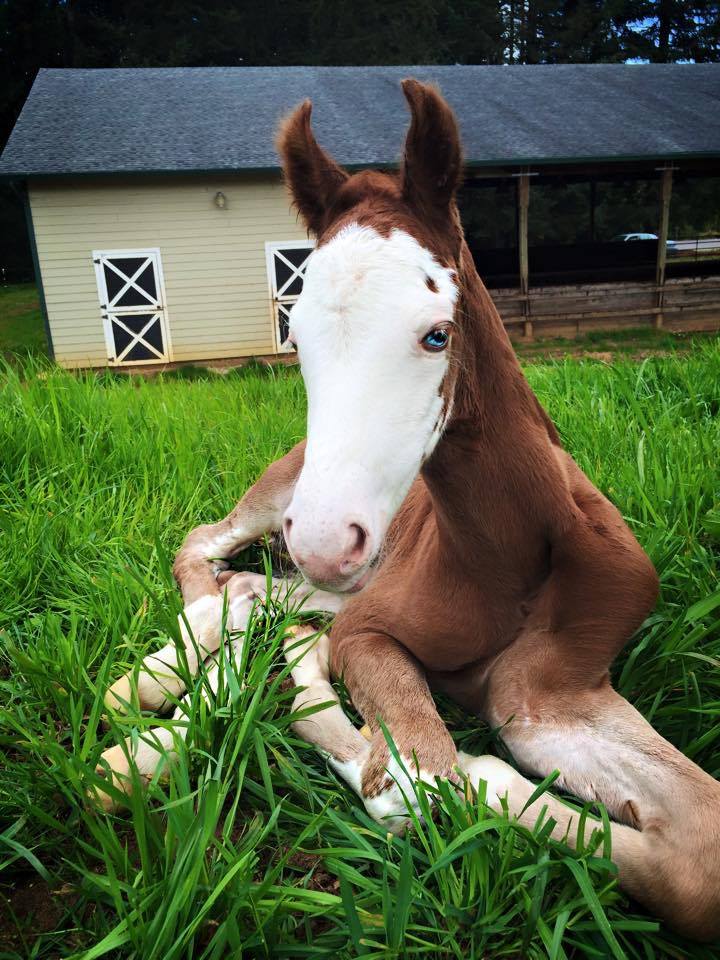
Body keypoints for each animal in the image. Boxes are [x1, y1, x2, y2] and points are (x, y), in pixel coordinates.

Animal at [95, 80, 720, 936]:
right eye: (294, 337)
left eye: (436, 335)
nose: (326, 537)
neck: (512, 558)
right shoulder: (373, 629)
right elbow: (417, 779)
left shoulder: (551, 695)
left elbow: (695, 855)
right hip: (281, 504)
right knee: (210, 552)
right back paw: (154, 694)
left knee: (267, 595)